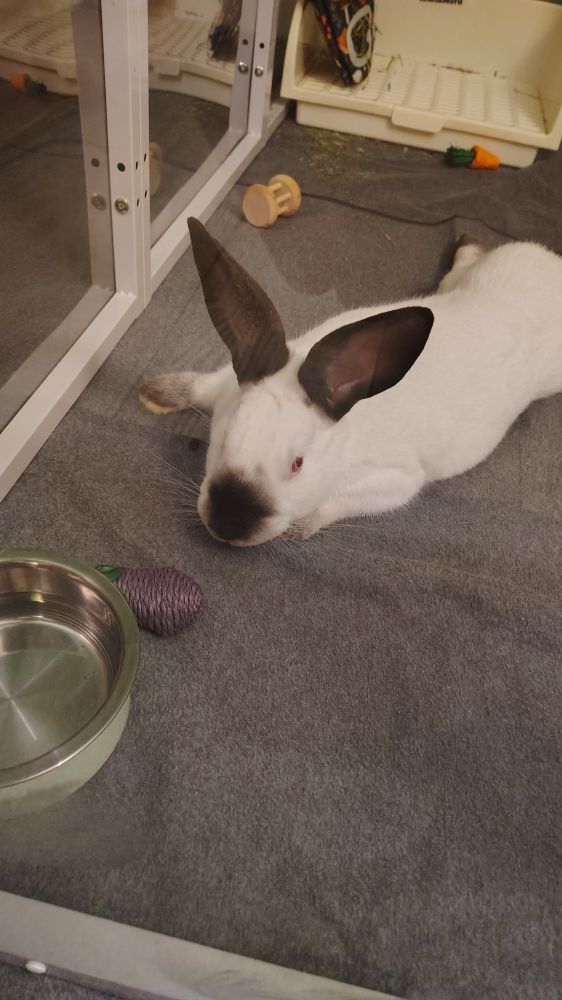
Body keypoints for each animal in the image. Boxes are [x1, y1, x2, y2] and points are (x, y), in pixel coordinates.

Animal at [139, 219, 562, 546]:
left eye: (297, 464)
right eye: (223, 438)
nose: (229, 525)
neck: (341, 437)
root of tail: (551, 262)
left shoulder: (397, 481)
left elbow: (335, 504)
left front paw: (297, 529)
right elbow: (203, 387)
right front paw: (155, 393)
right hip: (462, 279)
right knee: (467, 260)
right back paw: (467, 238)